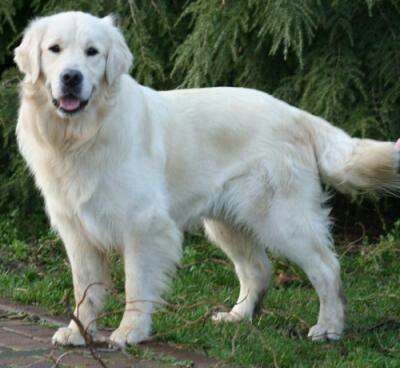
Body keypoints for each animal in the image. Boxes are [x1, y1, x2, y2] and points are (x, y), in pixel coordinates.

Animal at [14, 10, 398, 344]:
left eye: (92, 52)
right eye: (54, 49)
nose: (71, 77)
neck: (81, 136)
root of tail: (294, 112)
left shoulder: (144, 225)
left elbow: (136, 284)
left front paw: (129, 332)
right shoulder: (76, 228)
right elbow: (85, 289)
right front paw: (78, 332)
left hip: (281, 218)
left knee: (326, 267)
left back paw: (329, 328)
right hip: (227, 222)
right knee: (258, 268)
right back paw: (237, 316)